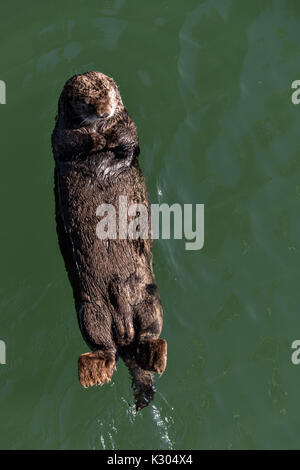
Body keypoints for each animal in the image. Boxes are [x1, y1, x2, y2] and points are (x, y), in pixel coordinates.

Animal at [52, 71, 168, 410]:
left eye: (108, 94)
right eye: (86, 101)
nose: (103, 111)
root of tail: (124, 331)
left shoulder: (129, 127)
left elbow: (128, 139)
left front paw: (109, 134)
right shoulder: (61, 138)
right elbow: (70, 143)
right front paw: (92, 138)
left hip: (146, 296)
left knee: (148, 333)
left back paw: (151, 356)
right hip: (90, 309)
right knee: (103, 346)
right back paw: (96, 371)